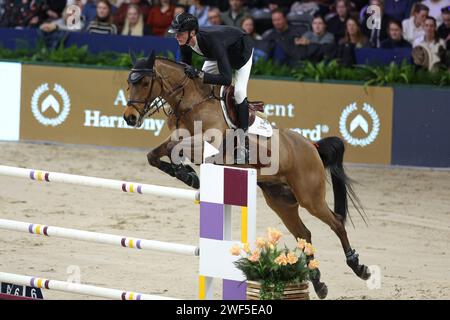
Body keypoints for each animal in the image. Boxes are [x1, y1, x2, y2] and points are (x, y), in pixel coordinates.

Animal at [121, 52, 370, 300]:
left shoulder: (209, 143)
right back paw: (318, 283)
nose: (129, 118)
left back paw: (358, 266)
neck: (191, 103)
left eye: (145, 82)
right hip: (281, 201)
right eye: (128, 83)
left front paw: (187, 173)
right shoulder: (180, 140)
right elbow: (155, 155)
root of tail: (312, 145)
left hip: (310, 197)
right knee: (304, 234)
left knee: (336, 222)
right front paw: (187, 175)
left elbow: (176, 147)